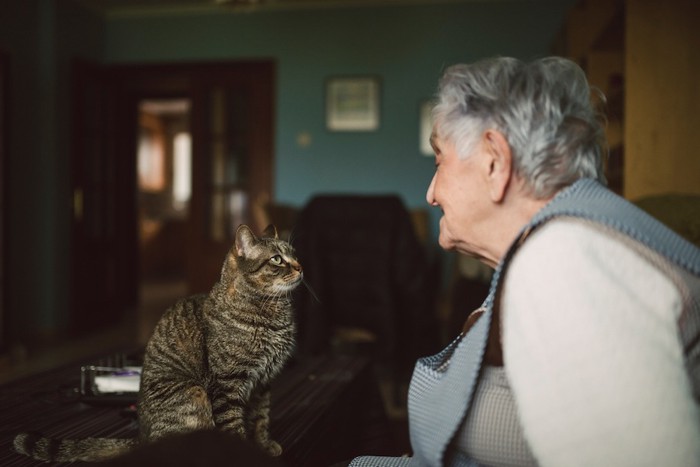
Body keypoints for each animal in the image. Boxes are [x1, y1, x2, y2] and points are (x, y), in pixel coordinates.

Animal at [13, 225, 302, 462]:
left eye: (294, 255)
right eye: (277, 259)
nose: (300, 267)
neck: (272, 313)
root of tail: (143, 438)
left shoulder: (263, 383)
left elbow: (261, 419)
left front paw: (263, 446)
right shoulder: (228, 386)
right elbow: (233, 426)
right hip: (194, 392)